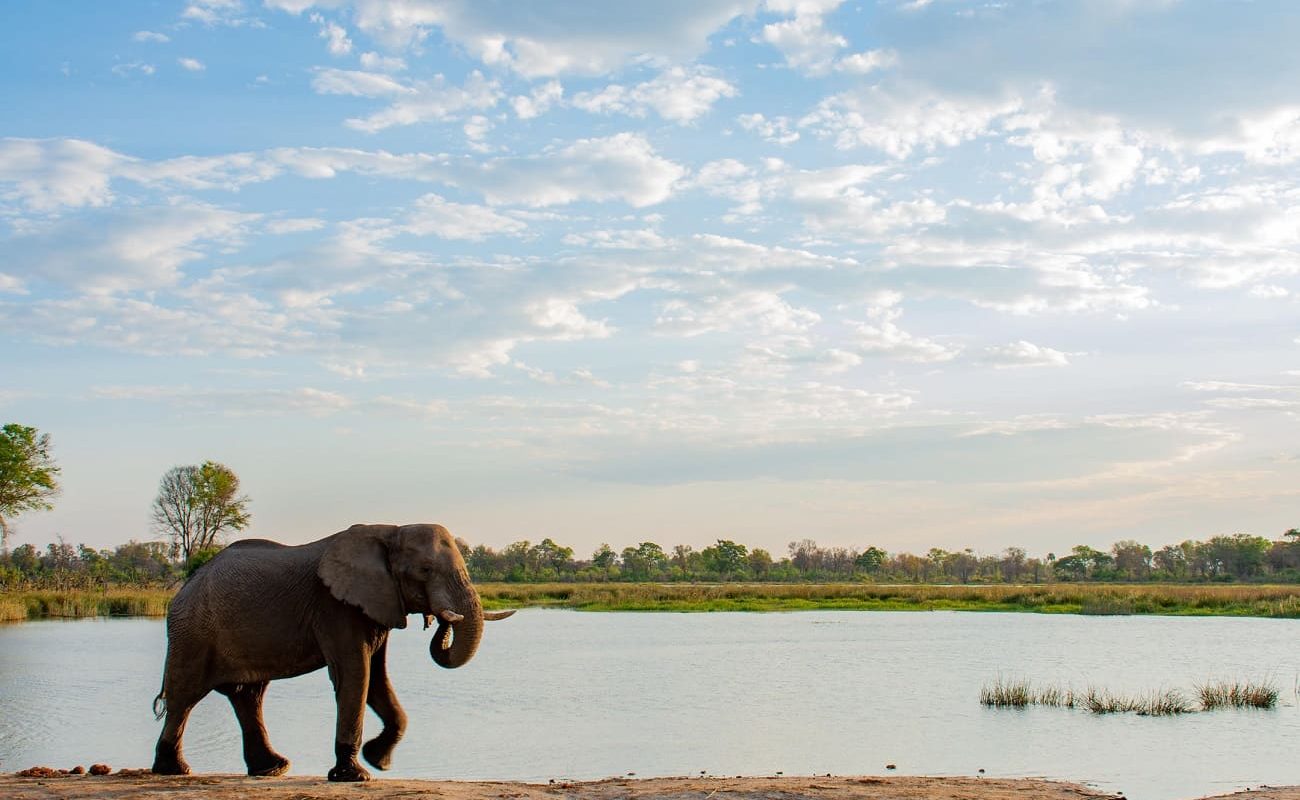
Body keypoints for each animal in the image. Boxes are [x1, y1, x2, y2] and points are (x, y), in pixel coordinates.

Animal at [150, 523, 515, 782]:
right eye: (425, 570)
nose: (437, 620)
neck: (391, 530)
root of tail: (183, 588)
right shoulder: (335, 606)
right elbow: (356, 674)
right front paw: (357, 775)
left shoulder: (374, 605)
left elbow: (377, 678)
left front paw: (378, 760)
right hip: (192, 633)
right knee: (185, 697)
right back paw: (175, 770)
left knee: (248, 696)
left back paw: (272, 768)